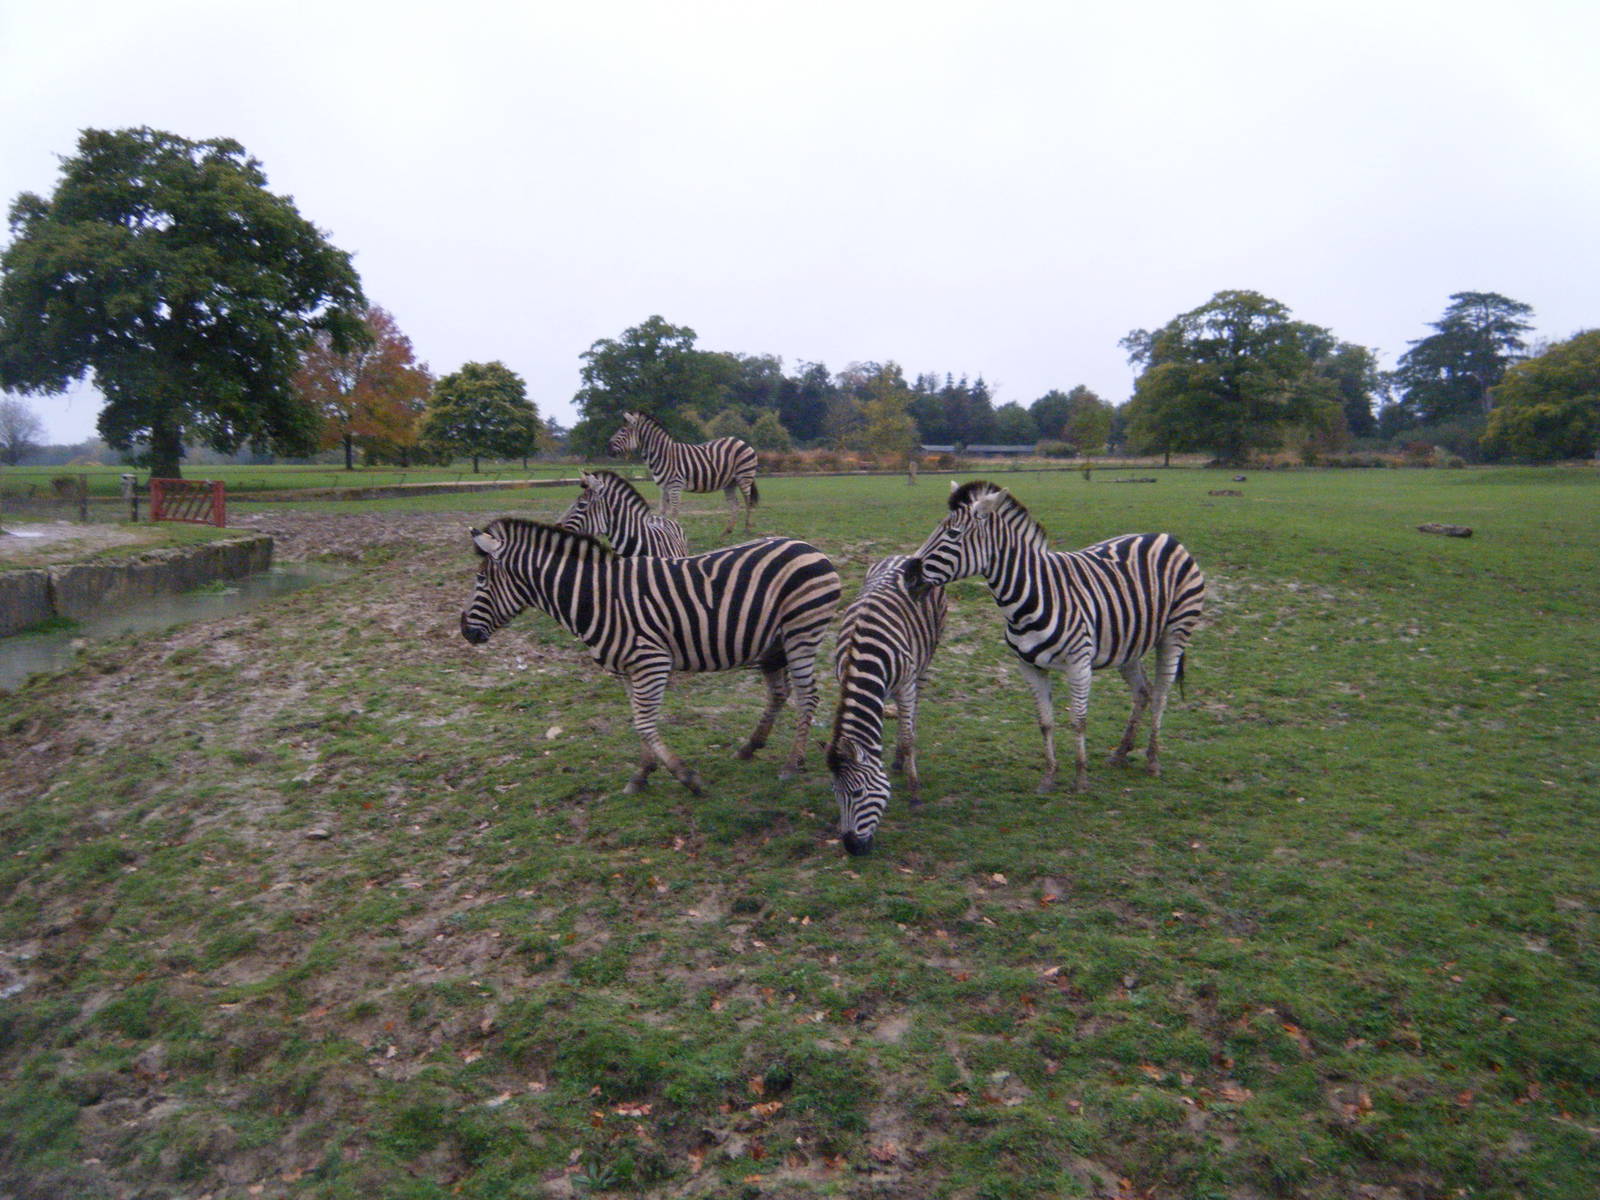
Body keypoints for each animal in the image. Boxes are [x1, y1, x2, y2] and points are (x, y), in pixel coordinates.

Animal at [459, 518, 840, 795]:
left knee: (808, 697)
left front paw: (686, 777)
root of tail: (809, 547)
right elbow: (639, 722)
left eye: (480, 580)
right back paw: (751, 746)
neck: (597, 597)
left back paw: (791, 764)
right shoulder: (626, 669)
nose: (465, 631)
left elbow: (644, 723)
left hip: (801, 635)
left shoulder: (650, 662)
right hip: (773, 645)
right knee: (780, 693)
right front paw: (642, 774)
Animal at [607, 411, 760, 534]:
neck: (664, 455)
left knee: (748, 502)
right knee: (735, 504)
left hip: (744, 477)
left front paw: (674, 531)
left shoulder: (675, 485)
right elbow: (662, 510)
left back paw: (747, 529)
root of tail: (741, 441)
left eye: (623, 430)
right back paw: (727, 531)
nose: (608, 449)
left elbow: (674, 511)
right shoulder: (663, 487)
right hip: (730, 482)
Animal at [826, 555, 948, 856]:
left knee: (913, 714)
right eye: (836, 794)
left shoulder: (906, 685)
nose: (852, 848)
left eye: (857, 793)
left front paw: (915, 794)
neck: (864, 657)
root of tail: (903, 555)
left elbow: (907, 736)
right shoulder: (845, 678)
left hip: (925, 660)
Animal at [904, 481, 1205, 793]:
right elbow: (1045, 722)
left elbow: (1078, 721)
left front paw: (1081, 779)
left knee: (1160, 694)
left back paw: (1152, 760)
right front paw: (1049, 776)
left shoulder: (1079, 664)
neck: (1028, 597)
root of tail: (1165, 536)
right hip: (1128, 644)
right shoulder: (1029, 667)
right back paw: (1121, 753)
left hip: (1175, 632)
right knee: (1142, 691)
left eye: (953, 534)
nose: (906, 572)